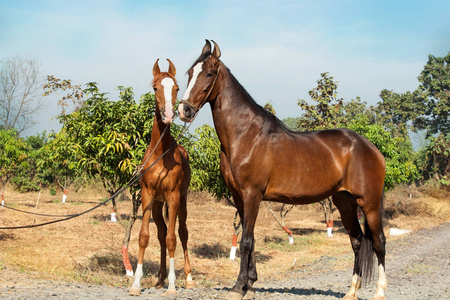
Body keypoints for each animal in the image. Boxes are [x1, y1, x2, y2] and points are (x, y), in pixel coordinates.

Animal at [129, 58, 194, 296]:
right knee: (161, 233)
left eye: (176, 88)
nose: (167, 115)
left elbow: (173, 238)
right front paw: (136, 284)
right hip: (158, 205)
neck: (161, 154)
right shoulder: (147, 196)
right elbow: (144, 237)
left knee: (182, 232)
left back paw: (188, 278)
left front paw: (173, 286)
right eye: (155, 88)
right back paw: (159, 279)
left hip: (182, 201)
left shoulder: (173, 197)